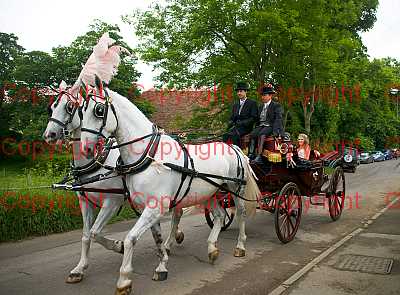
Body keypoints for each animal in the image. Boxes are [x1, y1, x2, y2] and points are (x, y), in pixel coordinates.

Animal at [42, 82, 184, 286]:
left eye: (70, 107)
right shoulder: (84, 202)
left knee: (177, 215)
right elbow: (86, 235)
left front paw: (119, 246)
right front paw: (79, 269)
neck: (97, 161)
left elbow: (95, 232)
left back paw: (171, 241)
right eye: (52, 107)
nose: (49, 135)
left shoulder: (112, 201)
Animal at [79, 85, 260, 295]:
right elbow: (157, 238)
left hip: (235, 188)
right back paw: (212, 249)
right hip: (210, 194)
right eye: (81, 111)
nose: (86, 149)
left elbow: (130, 238)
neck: (149, 155)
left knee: (240, 213)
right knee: (220, 215)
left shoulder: (155, 207)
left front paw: (124, 280)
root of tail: (234, 148)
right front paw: (162, 265)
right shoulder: (147, 208)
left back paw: (240, 246)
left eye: (99, 110)